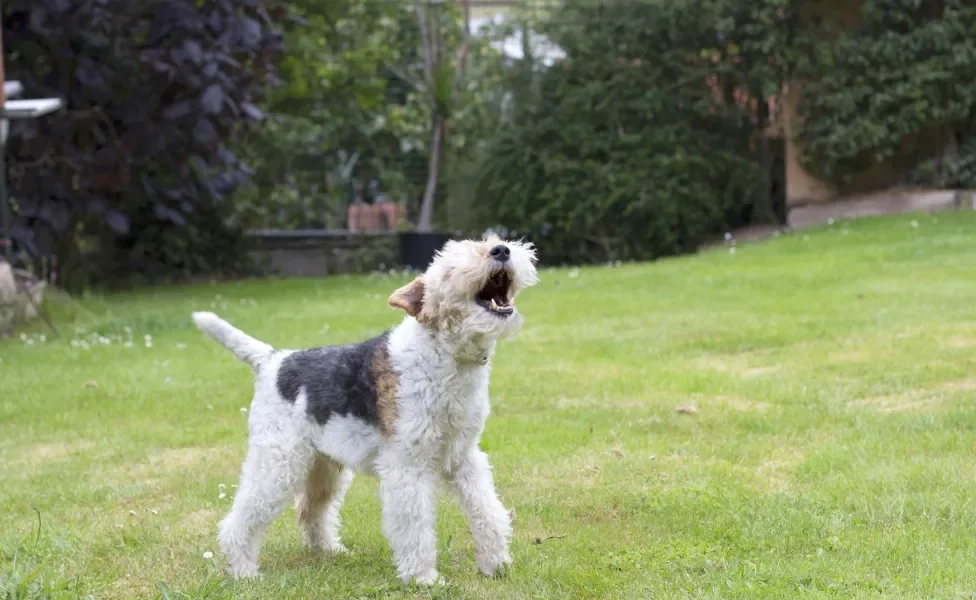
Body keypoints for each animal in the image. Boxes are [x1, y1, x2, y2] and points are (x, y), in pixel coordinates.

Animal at [192, 237, 540, 584]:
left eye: (489, 243)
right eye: (451, 267)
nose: (502, 250)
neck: (445, 354)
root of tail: (273, 360)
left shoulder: (463, 457)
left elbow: (487, 510)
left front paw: (496, 565)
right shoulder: (407, 465)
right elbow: (415, 525)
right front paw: (423, 578)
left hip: (323, 466)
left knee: (311, 509)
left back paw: (330, 550)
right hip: (279, 462)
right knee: (240, 519)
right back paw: (244, 572)